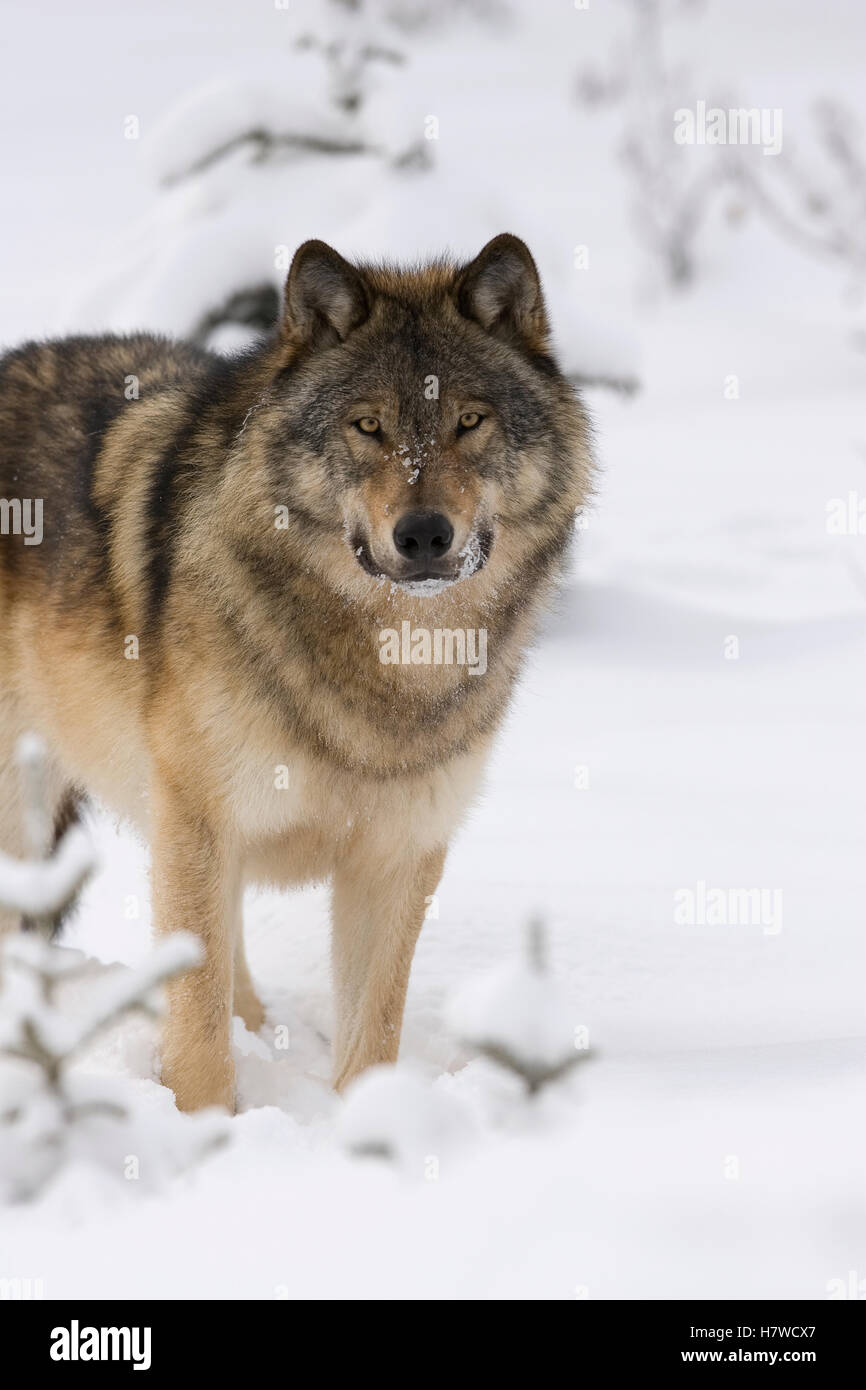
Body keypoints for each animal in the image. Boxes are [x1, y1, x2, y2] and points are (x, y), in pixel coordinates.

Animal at [0, 234, 593, 1110]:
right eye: (368, 426)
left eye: (470, 421)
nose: (424, 535)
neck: (388, 666)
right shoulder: (200, 825)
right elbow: (198, 1025)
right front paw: (206, 1123)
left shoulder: (399, 855)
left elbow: (372, 1033)